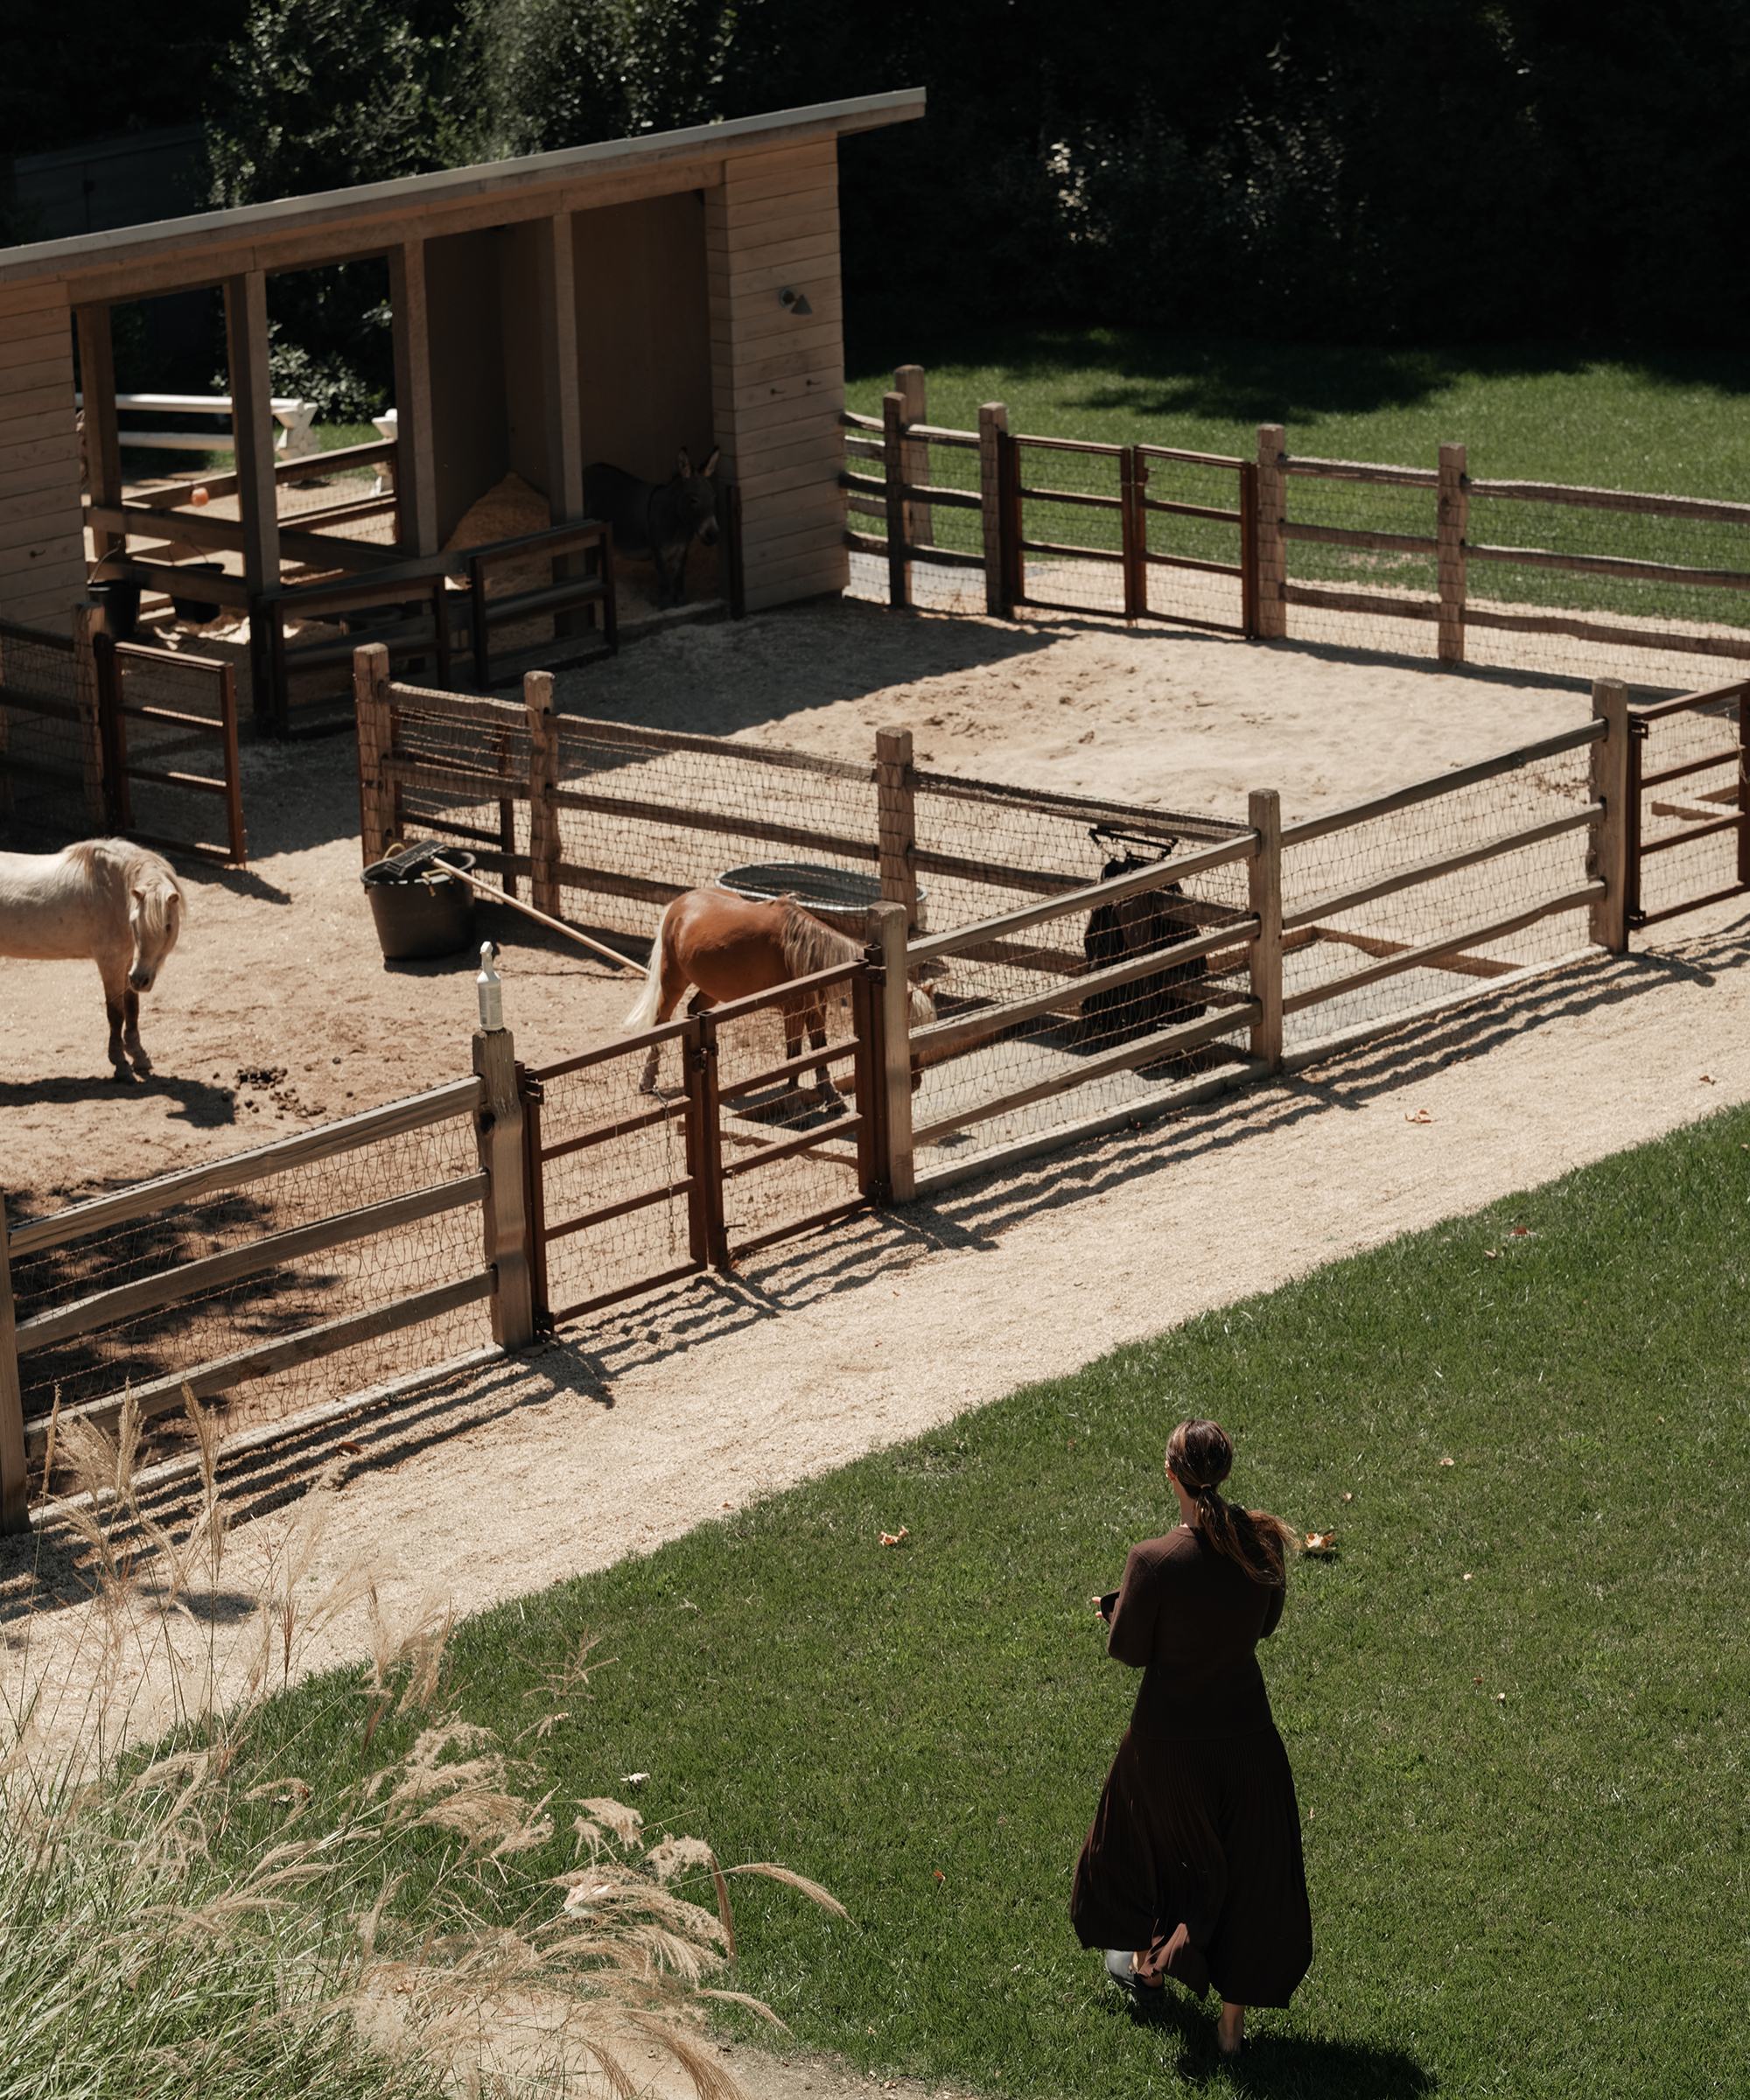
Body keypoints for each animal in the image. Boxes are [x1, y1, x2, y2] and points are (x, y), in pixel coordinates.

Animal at [0, 839, 185, 1081]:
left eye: (168, 926)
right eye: (134, 922)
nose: (141, 980)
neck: (112, 891)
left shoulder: (127, 963)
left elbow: (132, 1008)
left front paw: (138, 1055)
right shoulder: (111, 963)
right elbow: (116, 1013)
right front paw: (121, 1064)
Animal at [583, 449, 720, 607]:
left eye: (714, 498)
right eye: (693, 501)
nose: (713, 535)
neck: (677, 527)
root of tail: (586, 468)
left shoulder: (682, 553)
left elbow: (679, 588)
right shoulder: (658, 554)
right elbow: (665, 588)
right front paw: (666, 608)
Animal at [622, 888, 935, 1102]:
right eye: (906, 1029)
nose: (915, 1082)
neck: (802, 951)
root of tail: (679, 903)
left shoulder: (815, 1008)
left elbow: (818, 1048)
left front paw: (828, 1093)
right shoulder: (793, 1010)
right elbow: (795, 1052)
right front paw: (793, 1093)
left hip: (710, 990)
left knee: (694, 1010)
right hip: (672, 980)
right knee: (660, 1023)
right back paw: (647, 1080)